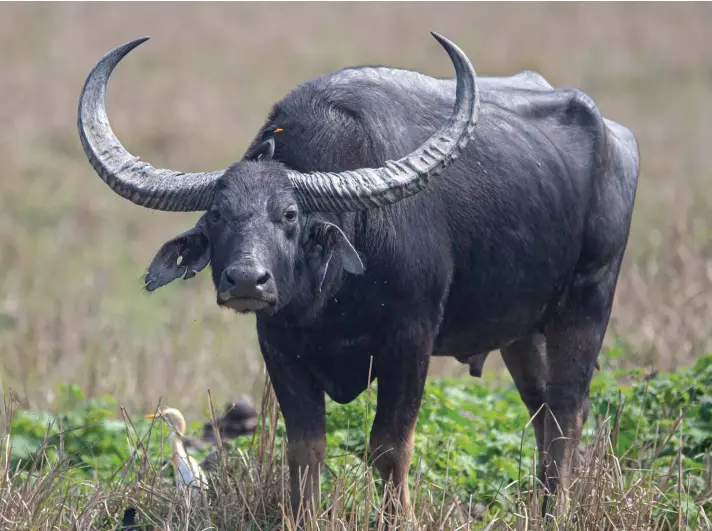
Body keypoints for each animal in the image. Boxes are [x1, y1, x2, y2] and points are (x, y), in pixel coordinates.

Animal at [78, 32, 640, 520]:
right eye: (216, 216)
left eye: (289, 215)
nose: (246, 281)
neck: (333, 298)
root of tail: (618, 138)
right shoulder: (279, 345)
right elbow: (305, 447)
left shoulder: (409, 341)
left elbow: (389, 447)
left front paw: (399, 518)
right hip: (522, 331)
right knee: (541, 412)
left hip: (588, 301)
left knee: (567, 413)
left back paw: (556, 511)